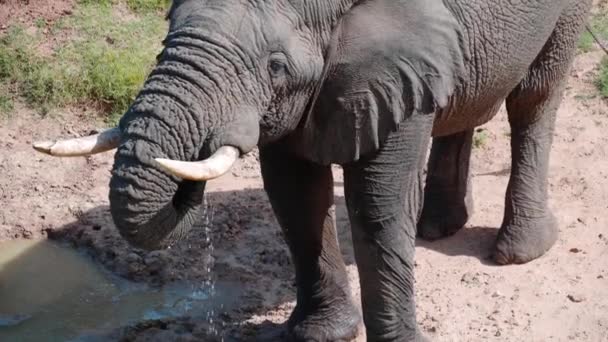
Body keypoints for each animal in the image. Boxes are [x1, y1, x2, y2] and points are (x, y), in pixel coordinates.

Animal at [34, 0, 592, 340]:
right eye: (166, 34)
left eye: (275, 66)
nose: (186, 183)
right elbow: (295, 196)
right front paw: (320, 334)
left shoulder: (394, 64)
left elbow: (378, 203)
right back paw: (437, 228)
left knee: (534, 98)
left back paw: (518, 251)